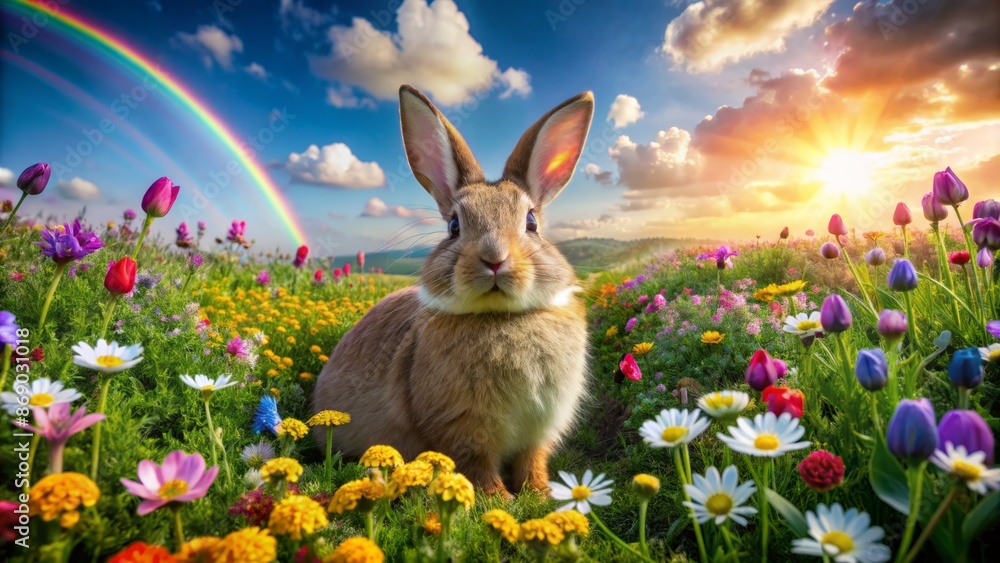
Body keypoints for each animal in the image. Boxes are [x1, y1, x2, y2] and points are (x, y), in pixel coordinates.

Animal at [312, 84, 594, 497]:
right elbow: (477, 466)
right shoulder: (461, 428)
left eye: (531, 222)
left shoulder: (540, 426)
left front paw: (542, 494)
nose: (494, 258)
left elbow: (532, 460)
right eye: (454, 226)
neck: (500, 318)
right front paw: (501, 499)